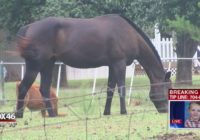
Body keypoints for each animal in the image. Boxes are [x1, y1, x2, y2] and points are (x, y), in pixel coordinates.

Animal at [16, 14, 172, 117]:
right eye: (168, 88)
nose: (166, 110)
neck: (128, 33)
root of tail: (28, 27)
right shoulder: (119, 63)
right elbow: (121, 88)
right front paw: (124, 112)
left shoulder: (112, 65)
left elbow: (110, 89)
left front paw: (107, 112)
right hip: (35, 65)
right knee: (24, 87)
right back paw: (18, 115)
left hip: (48, 64)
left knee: (44, 89)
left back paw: (52, 115)